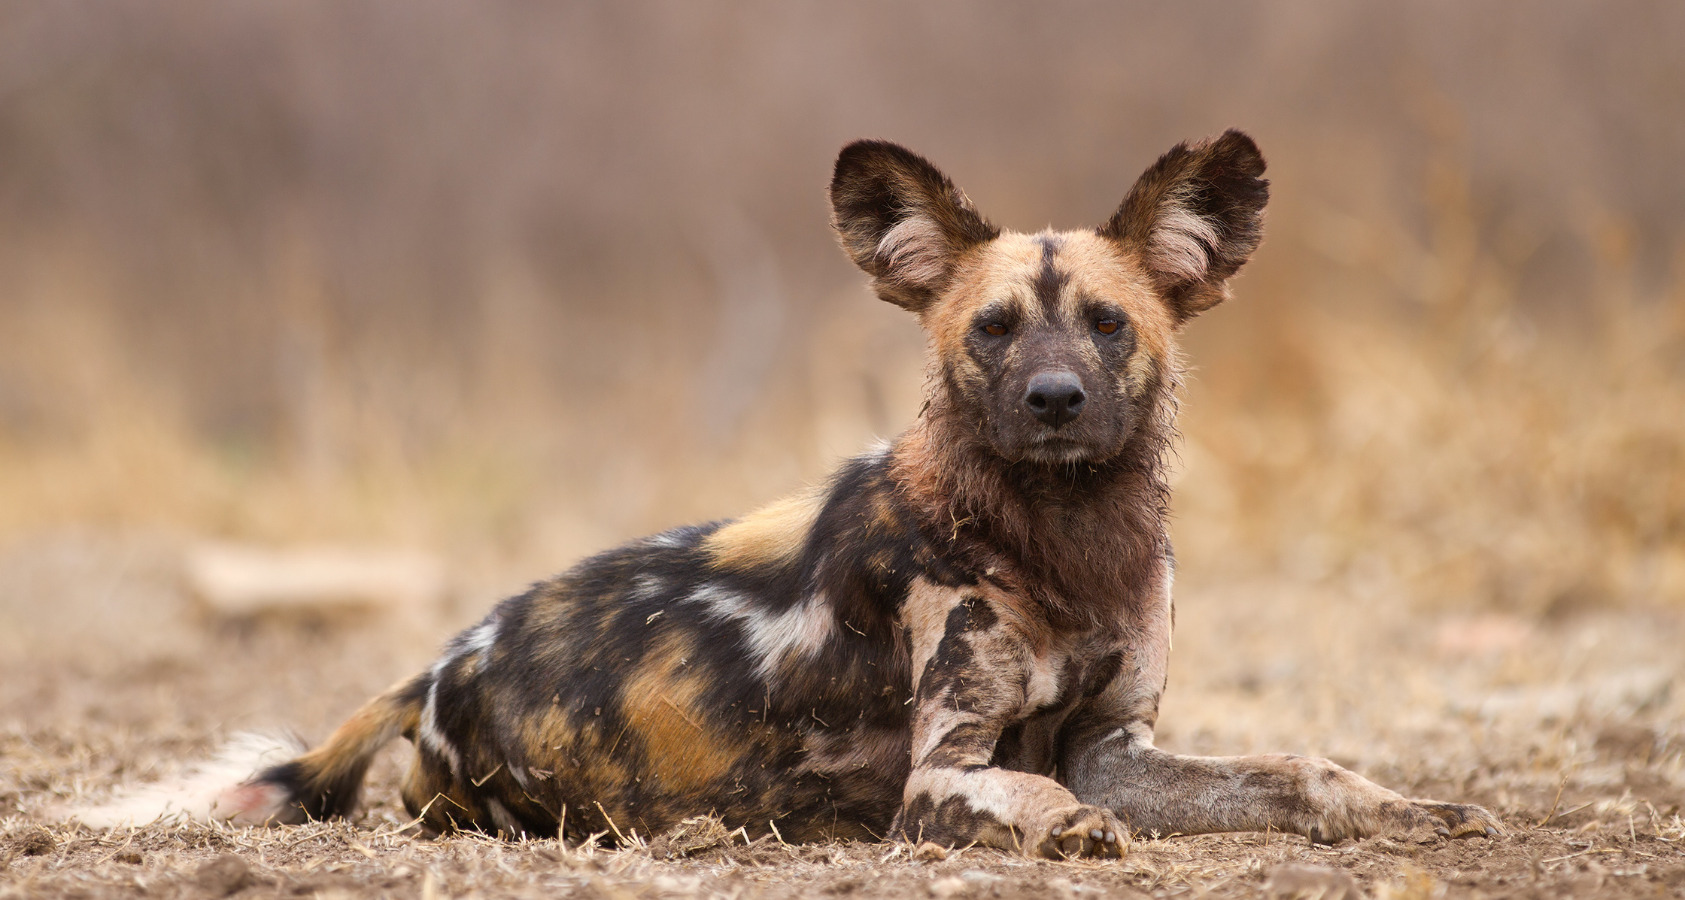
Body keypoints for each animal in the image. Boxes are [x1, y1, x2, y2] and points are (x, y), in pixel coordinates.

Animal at [197, 132, 1503, 859]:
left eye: (1106, 325)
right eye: (991, 329)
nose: (1054, 400)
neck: (1063, 536)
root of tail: (437, 661)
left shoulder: (1114, 748)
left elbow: (1297, 771)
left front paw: (1409, 812)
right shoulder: (950, 769)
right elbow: (1028, 789)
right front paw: (1065, 832)